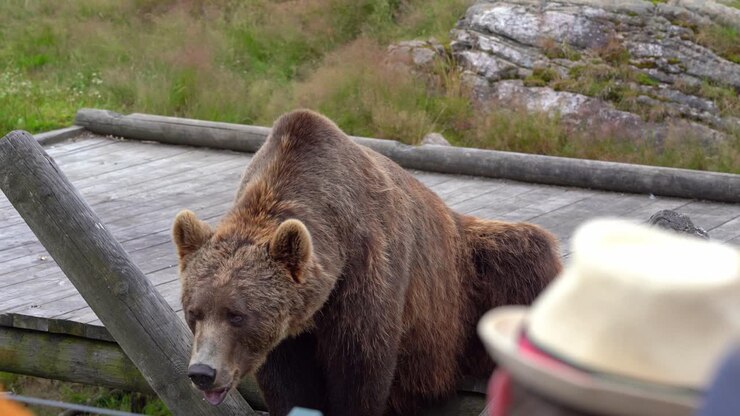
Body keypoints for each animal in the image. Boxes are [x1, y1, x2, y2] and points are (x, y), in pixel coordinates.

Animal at [172, 110, 562, 416]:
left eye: (237, 315)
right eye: (194, 312)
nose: (202, 372)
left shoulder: (366, 271)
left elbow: (360, 370)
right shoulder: (289, 332)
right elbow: (287, 383)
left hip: (467, 277)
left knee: (526, 254)